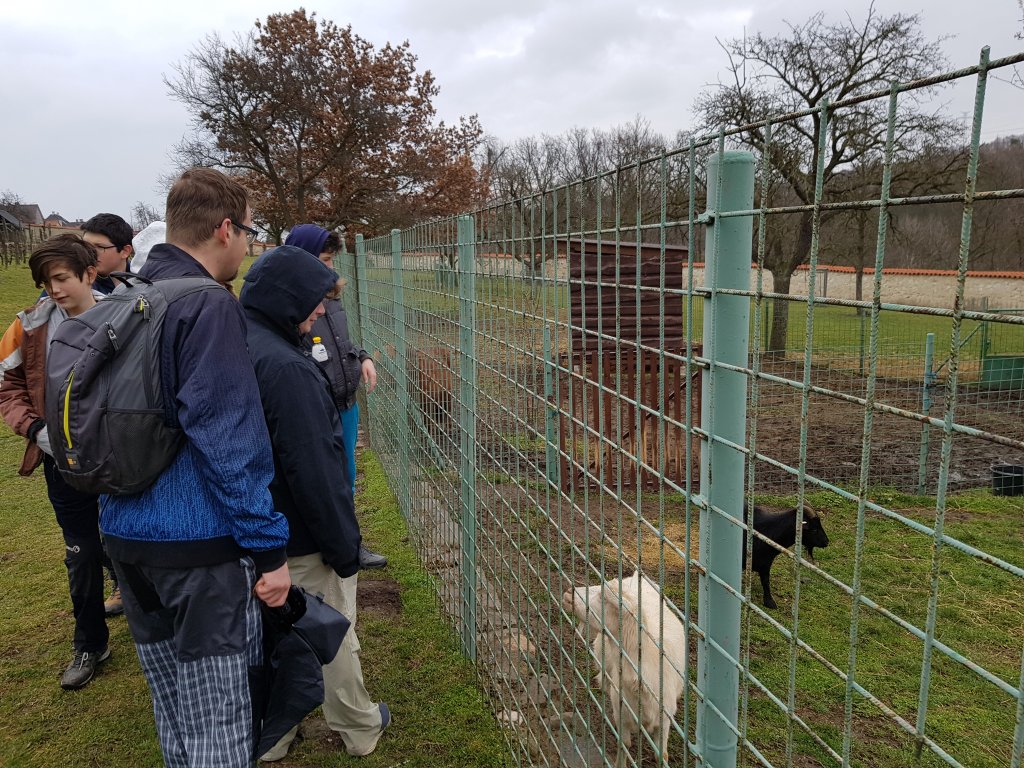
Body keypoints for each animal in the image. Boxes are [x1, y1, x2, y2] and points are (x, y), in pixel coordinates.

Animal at [563, 571, 687, 768]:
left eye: (604, 597)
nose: (569, 592)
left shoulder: (665, 718)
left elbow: (662, 754)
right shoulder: (621, 711)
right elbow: (625, 744)